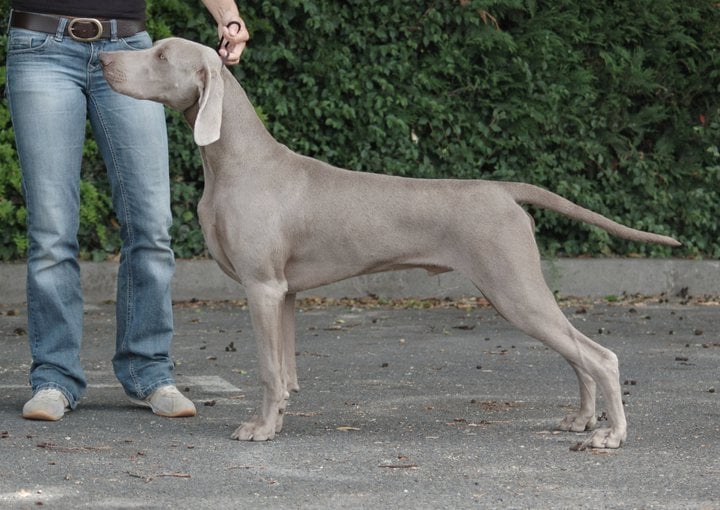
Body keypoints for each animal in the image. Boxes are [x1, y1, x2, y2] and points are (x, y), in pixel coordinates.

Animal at [100, 38, 681, 448]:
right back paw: (581, 419)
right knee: (577, 354)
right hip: (516, 292)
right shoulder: (284, 293)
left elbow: (266, 370)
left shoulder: (262, 287)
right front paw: (279, 418)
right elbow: (284, 371)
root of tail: (501, 188)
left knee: (600, 356)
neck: (236, 161)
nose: (103, 58)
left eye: (161, 54)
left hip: (514, 287)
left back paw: (610, 434)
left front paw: (260, 430)